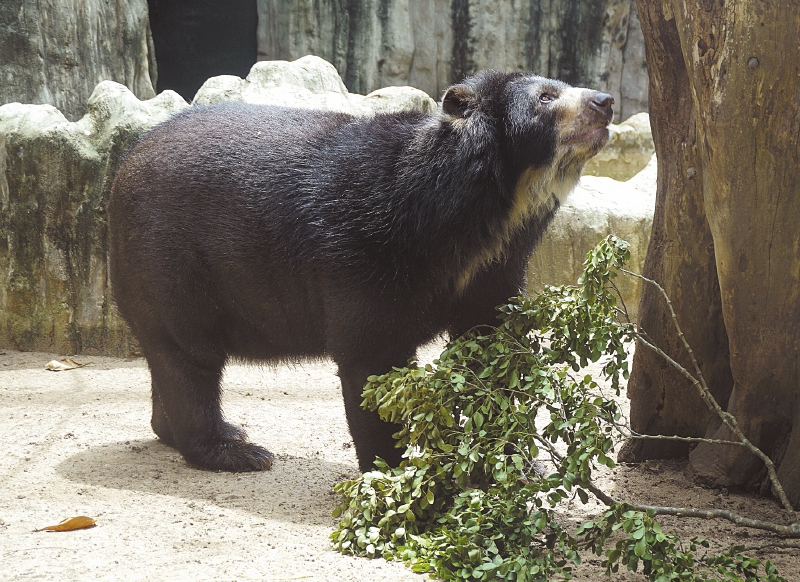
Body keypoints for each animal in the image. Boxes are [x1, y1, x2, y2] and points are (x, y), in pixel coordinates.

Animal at [108, 71, 613, 473]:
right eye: (546, 97)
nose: (605, 101)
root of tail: (122, 170)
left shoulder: (493, 271)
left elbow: (491, 346)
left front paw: (513, 462)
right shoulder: (366, 250)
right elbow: (372, 356)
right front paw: (390, 473)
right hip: (170, 262)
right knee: (189, 355)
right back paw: (234, 450)